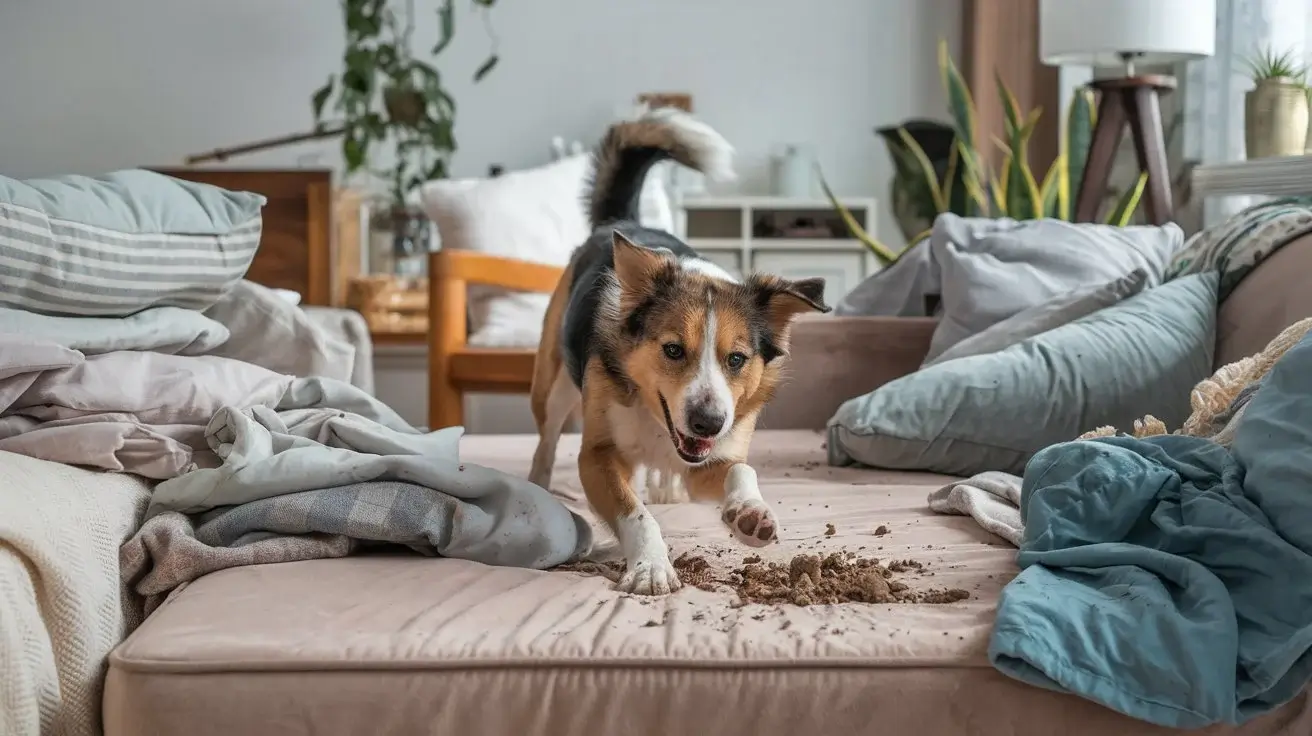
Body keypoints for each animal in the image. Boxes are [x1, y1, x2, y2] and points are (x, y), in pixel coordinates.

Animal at [530, 110, 829, 598]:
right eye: (672, 349)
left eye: (737, 359)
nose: (708, 422)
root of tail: (618, 222)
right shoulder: (597, 456)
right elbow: (635, 513)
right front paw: (650, 565)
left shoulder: (710, 458)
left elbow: (739, 471)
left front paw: (750, 512)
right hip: (553, 384)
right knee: (547, 439)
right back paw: (539, 485)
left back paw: (665, 487)